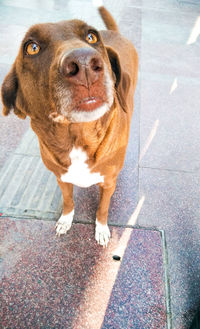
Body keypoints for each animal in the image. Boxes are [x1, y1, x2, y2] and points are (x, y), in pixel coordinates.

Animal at [0, 0, 138, 246]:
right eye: (31, 47)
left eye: (91, 37)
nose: (84, 64)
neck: (77, 140)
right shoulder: (61, 179)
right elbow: (68, 201)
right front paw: (66, 220)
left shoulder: (108, 184)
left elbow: (103, 208)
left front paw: (101, 229)